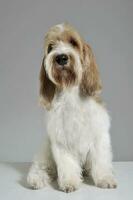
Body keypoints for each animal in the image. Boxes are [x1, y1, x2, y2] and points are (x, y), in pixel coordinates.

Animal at [27, 23, 117, 192]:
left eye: (73, 42)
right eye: (51, 47)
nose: (61, 57)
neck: (71, 93)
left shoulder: (99, 135)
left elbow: (101, 160)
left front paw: (105, 179)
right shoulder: (60, 140)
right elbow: (67, 163)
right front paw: (69, 182)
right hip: (46, 151)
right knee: (41, 167)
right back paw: (36, 179)